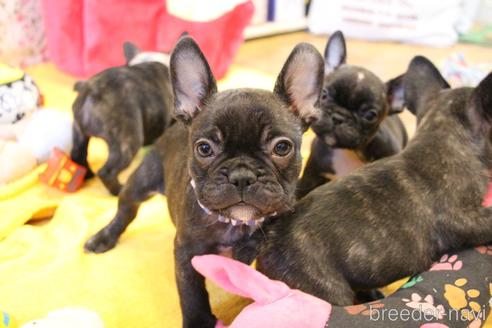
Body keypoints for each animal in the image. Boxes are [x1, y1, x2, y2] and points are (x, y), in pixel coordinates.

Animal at [70, 41, 173, 195]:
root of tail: (91, 91)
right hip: (126, 141)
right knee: (107, 172)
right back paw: (118, 190)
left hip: (79, 133)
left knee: (78, 155)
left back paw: (87, 176)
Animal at [84, 37, 322, 326]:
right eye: (205, 148)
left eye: (282, 147)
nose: (241, 176)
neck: (232, 223)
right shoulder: (186, 253)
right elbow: (192, 293)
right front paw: (198, 320)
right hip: (140, 181)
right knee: (125, 211)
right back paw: (104, 237)